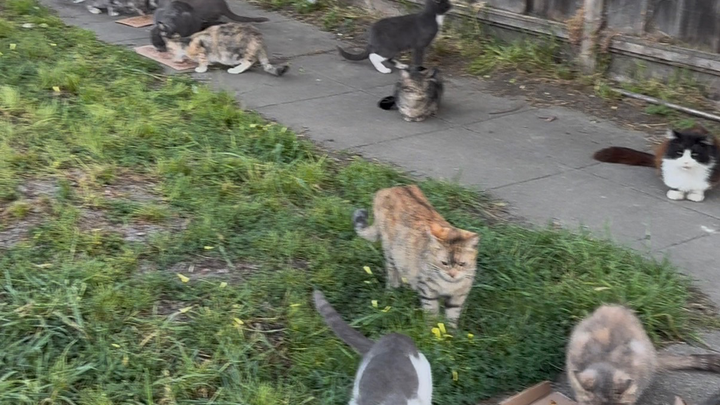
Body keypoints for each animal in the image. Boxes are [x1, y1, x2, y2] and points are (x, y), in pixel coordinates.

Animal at [353, 184, 479, 328]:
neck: (449, 284)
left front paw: (450, 332)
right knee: (392, 272)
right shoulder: (428, 291)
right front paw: (433, 330)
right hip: (391, 251)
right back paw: (393, 291)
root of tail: (391, 188)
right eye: (444, 263)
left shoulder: (458, 297)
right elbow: (431, 314)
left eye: (462, 264)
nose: (452, 274)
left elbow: (452, 317)